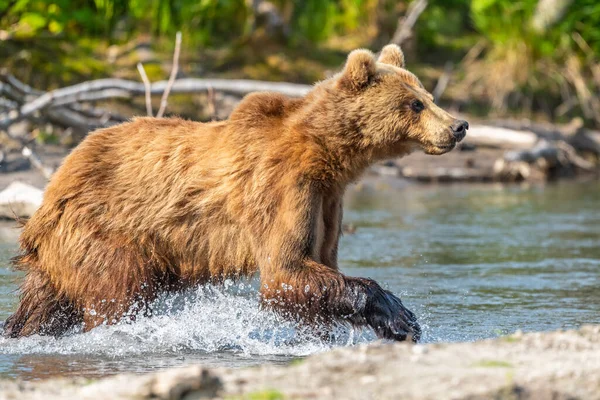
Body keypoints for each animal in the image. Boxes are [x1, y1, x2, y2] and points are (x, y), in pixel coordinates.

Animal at [2, 45, 466, 342]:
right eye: (415, 104)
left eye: (428, 95)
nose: (459, 125)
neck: (326, 153)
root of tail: (50, 194)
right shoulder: (284, 187)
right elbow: (284, 269)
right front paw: (399, 315)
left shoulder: (328, 199)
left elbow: (318, 267)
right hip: (107, 234)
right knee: (116, 296)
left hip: (64, 256)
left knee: (42, 309)